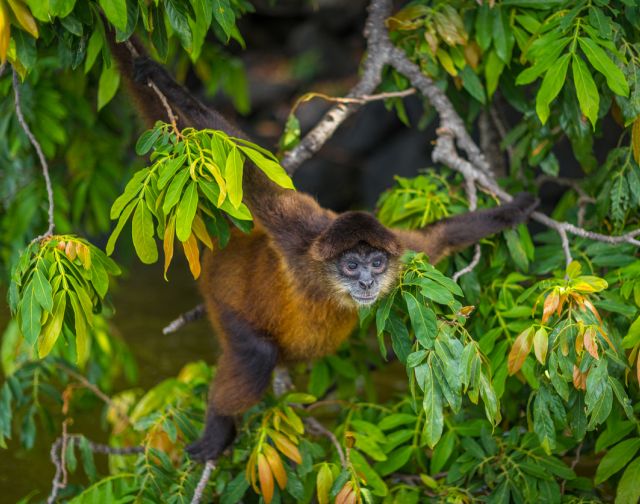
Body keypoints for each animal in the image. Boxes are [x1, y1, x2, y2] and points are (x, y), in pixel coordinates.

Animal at [107, 34, 536, 460]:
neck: (328, 285)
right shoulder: (299, 236)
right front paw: (162, 78)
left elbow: (443, 236)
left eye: (376, 263)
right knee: (256, 354)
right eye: (351, 266)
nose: (366, 283)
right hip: (223, 300)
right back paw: (218, 427)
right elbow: (254, 176)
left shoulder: (401, 248)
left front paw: (522, 205)